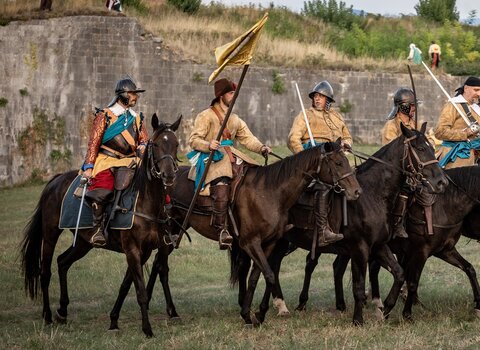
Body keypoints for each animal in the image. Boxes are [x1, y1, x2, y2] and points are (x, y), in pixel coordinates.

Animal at [19, 114, 182, 336]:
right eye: (156, 144)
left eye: (176, 144)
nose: (169, 175)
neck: (146, 201)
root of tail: (55, 180)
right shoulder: (133, 250)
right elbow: (139, 289)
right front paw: (147, 329)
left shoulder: (150, 250)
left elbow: (129, 283)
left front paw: (114, 320)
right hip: (51, 233)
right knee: (45, 271)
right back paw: (48, 315)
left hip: (83, 242)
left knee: (63, 262)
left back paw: (62, 310)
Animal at [142, 137, 360, 326]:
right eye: (338, 163)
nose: (356, 191)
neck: (270, 192)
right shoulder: (250, 242)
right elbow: (269, 274)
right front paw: (258, 313)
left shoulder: (268, 243)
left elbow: (256, 276)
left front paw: (250, 314)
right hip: (170, 232)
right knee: (161, 266)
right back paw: (170, 311)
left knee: (158, 263)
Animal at [249, 122, 448, 326]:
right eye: (421, 148)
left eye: (432, 148)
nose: (442, 182)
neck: (372, 194)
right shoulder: (360, 249)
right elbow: (358, 287)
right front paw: (358, 319)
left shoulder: (378, 246)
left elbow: (399, 273)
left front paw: (385, 308)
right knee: (272, 266)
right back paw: (279, 306)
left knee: (273, 266)